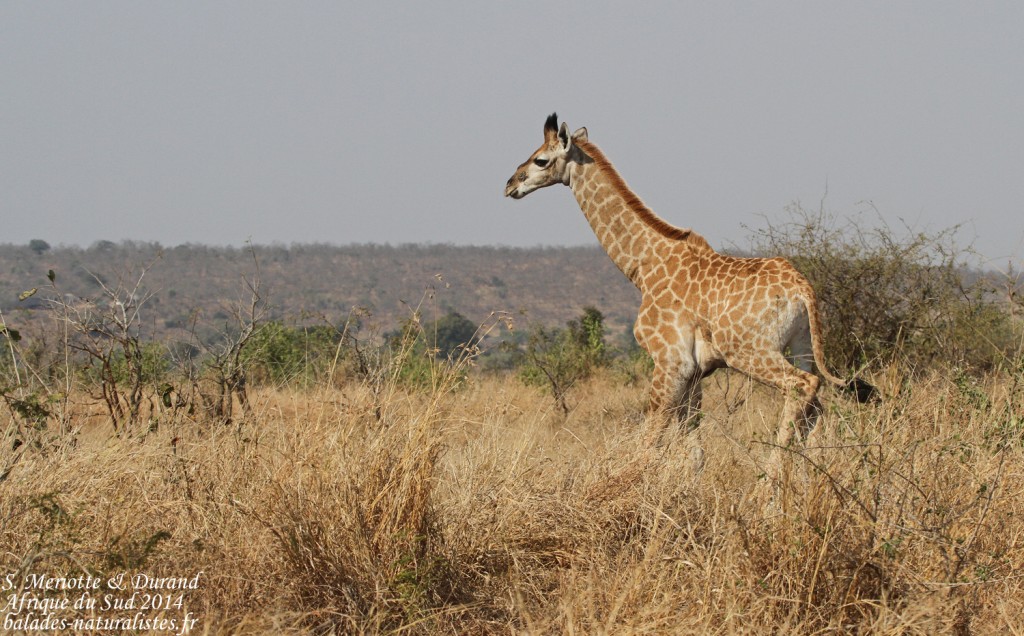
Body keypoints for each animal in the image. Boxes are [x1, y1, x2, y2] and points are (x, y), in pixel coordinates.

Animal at [505, 113, 875, 450]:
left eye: (540, 159)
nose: (509, 184)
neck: (645, 266)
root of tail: (803, 290)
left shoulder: (669, 360)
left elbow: (651, 436)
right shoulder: (695, 371)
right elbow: (692, 446)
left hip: (751, 351)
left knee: (803, 387)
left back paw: (771, 481)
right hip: (802, 345)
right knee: (816, 409)